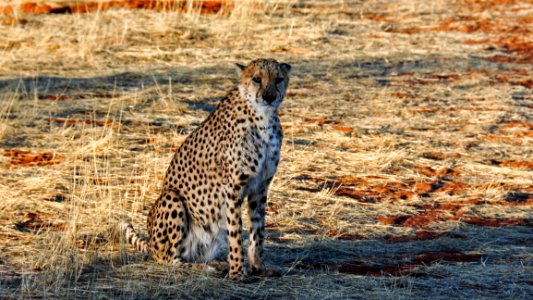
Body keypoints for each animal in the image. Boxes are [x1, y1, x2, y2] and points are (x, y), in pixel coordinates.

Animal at [119, 58, 290, 282]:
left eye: (278, 79)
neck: (263, 118)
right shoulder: (233, 187)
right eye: (256, 79)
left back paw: (216, 263)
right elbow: (236, 232)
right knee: (169, 260)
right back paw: (207, 268)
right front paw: (238, 272)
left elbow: (258, 231)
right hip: (172, 197)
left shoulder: (260, 187)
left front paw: (258, 267)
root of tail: (149, 244)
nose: (269, 97)